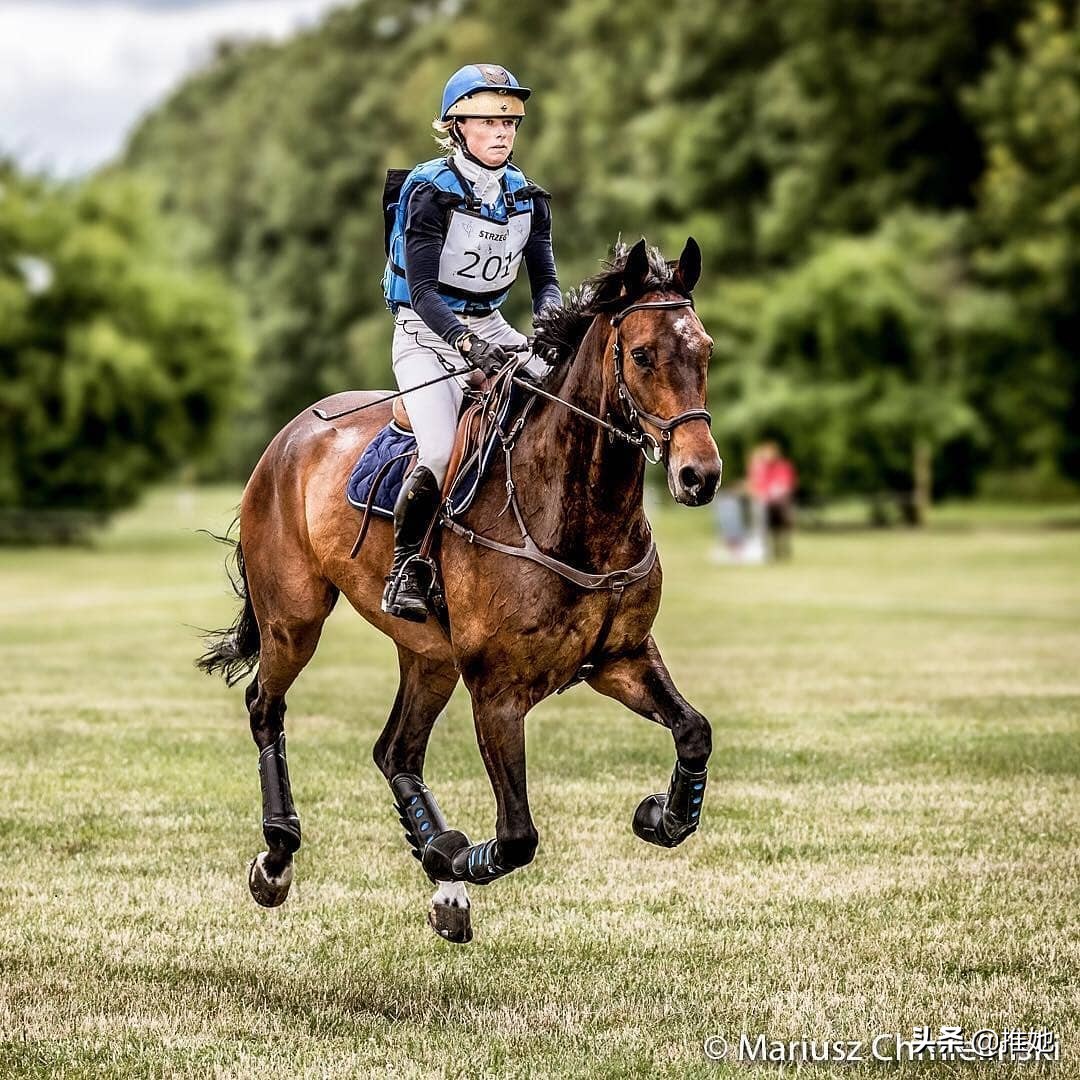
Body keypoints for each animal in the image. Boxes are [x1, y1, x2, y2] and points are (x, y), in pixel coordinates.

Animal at [200, 236, 725, 946]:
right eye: (641, 355)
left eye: (705, 351)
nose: (700, 475)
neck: (575, 514)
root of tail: (290, 435)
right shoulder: (497, 690)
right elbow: (519, 834)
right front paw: (460, 858)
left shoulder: (621, 659)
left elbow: (694, 730)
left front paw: (660, 815)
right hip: (295, 619)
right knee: (266, 706)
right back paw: (281, 854)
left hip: (429, 655)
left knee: (395, 749)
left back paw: (438, 868)